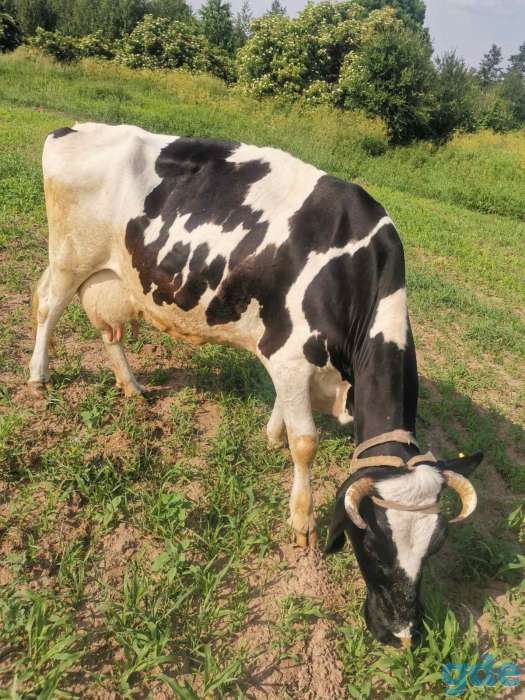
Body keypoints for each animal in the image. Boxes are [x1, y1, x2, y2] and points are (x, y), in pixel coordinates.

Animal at [29, 123, 482, 647]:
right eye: (370, 539)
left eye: (435, 545)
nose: (402, 634)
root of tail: (74, 127)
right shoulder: (290, 353)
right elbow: (306, 442)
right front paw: (301, 521)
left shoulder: (290, 360)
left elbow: (286, 412)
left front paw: (271, 436)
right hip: (70, 257)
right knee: (48, 306)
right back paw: (38, 377)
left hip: (113, 277)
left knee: (108, 331)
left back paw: (131, 385)